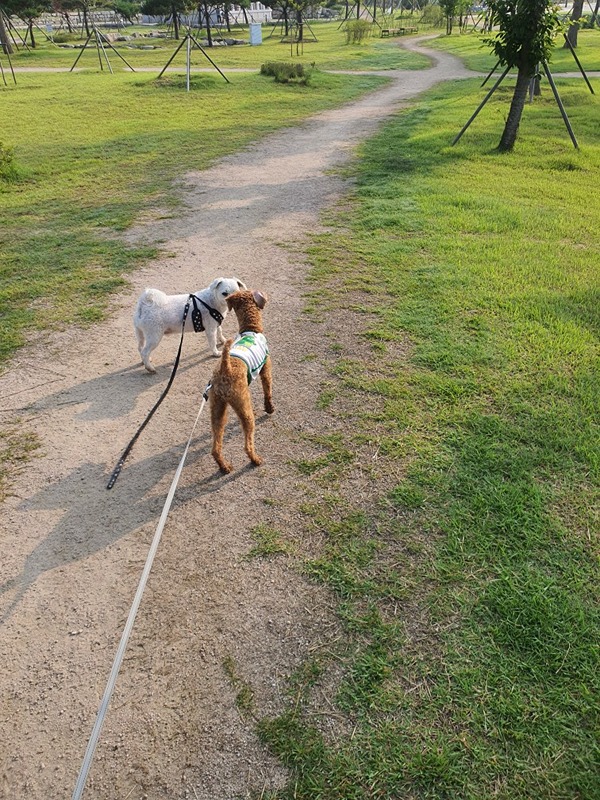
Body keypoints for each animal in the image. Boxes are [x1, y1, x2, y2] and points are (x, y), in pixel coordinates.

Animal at [209, 290, 274, 472]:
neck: (251, 328)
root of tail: (226, 369)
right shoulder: (266, 369)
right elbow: (268, 391)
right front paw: (270, 409)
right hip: (242, 405)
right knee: (247, 444)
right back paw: (255, 460)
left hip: (217, 408)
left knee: (215, 447)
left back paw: (224, 467)